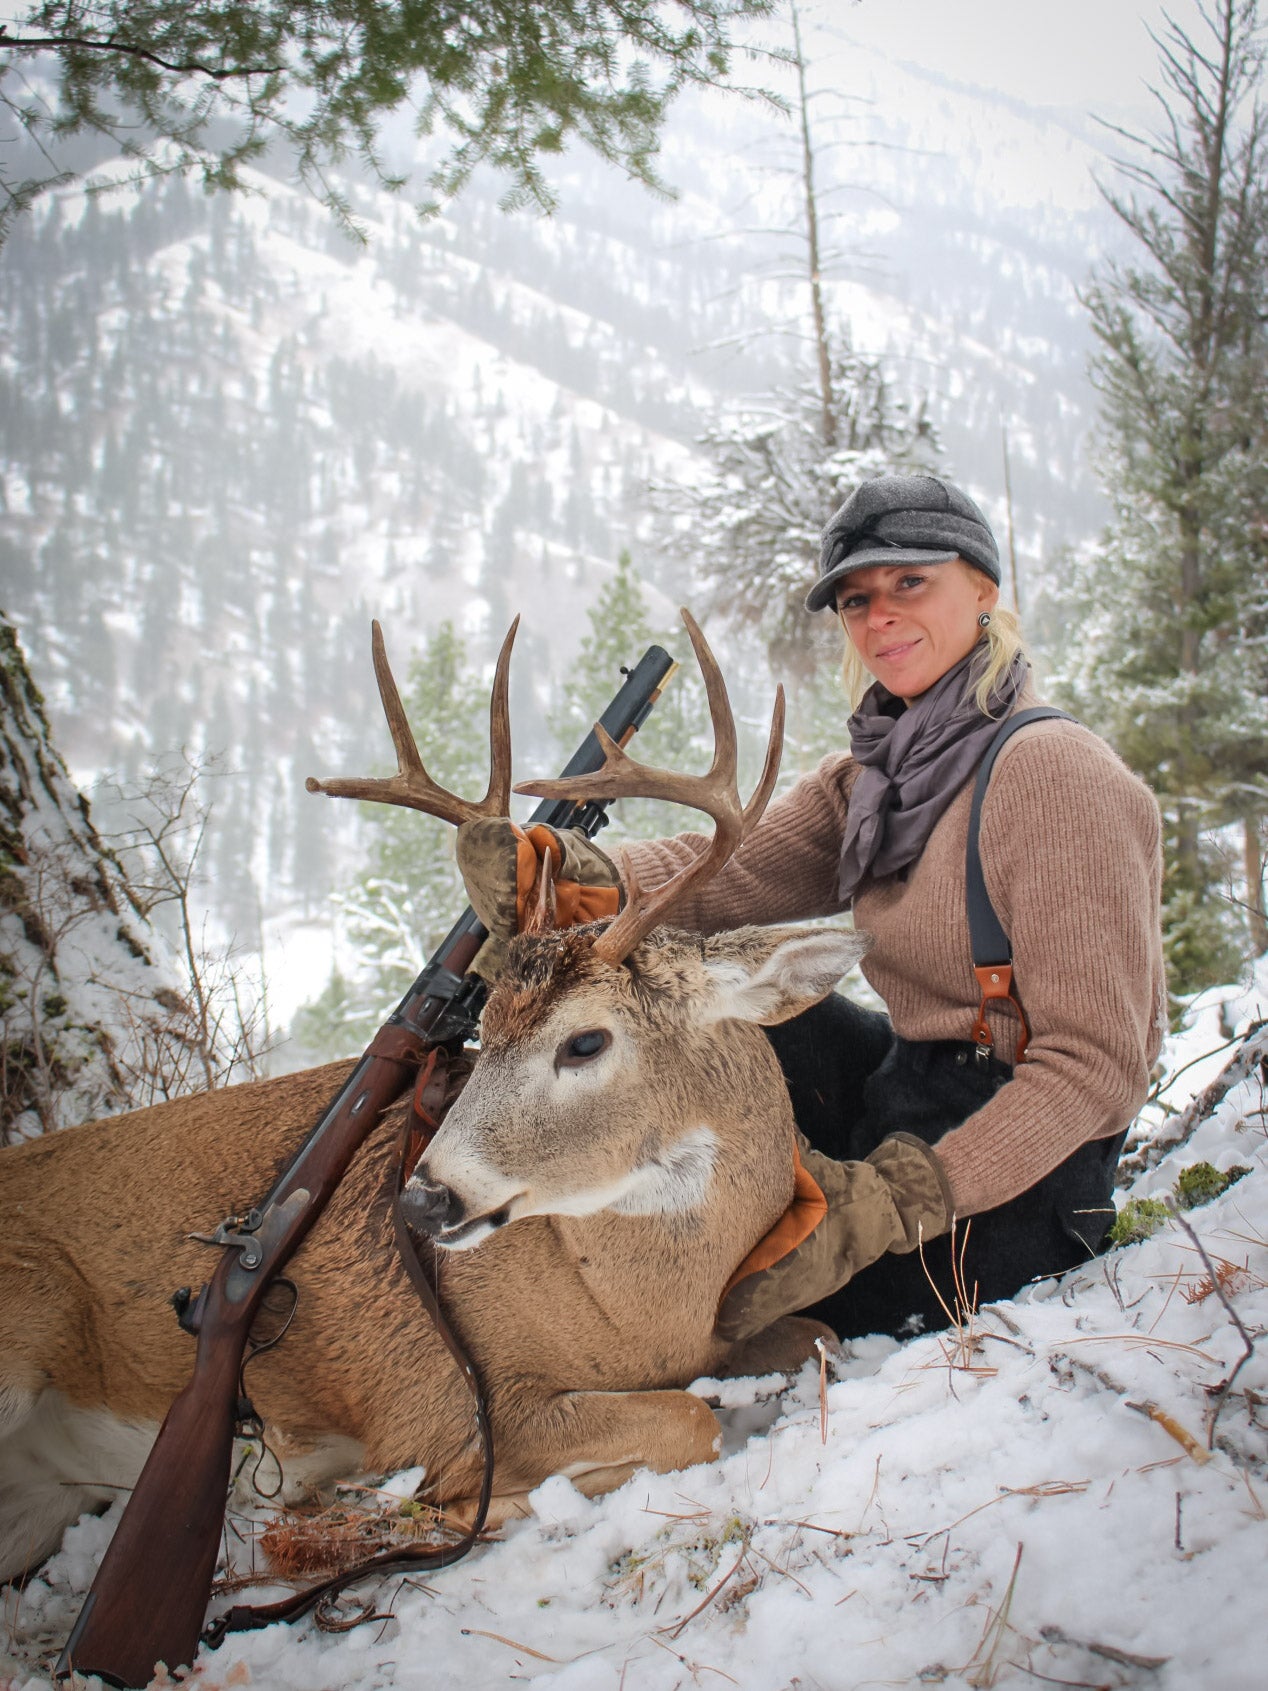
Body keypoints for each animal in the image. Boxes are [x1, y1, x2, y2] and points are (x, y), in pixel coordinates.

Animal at [0, 615, 872, 1589]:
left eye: (586, 1041)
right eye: (483, 1024)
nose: (422, 1197)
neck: (645, 1313)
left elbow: (818, 1334)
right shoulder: (445, 1401)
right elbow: (689, 1419)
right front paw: (447, 1507)